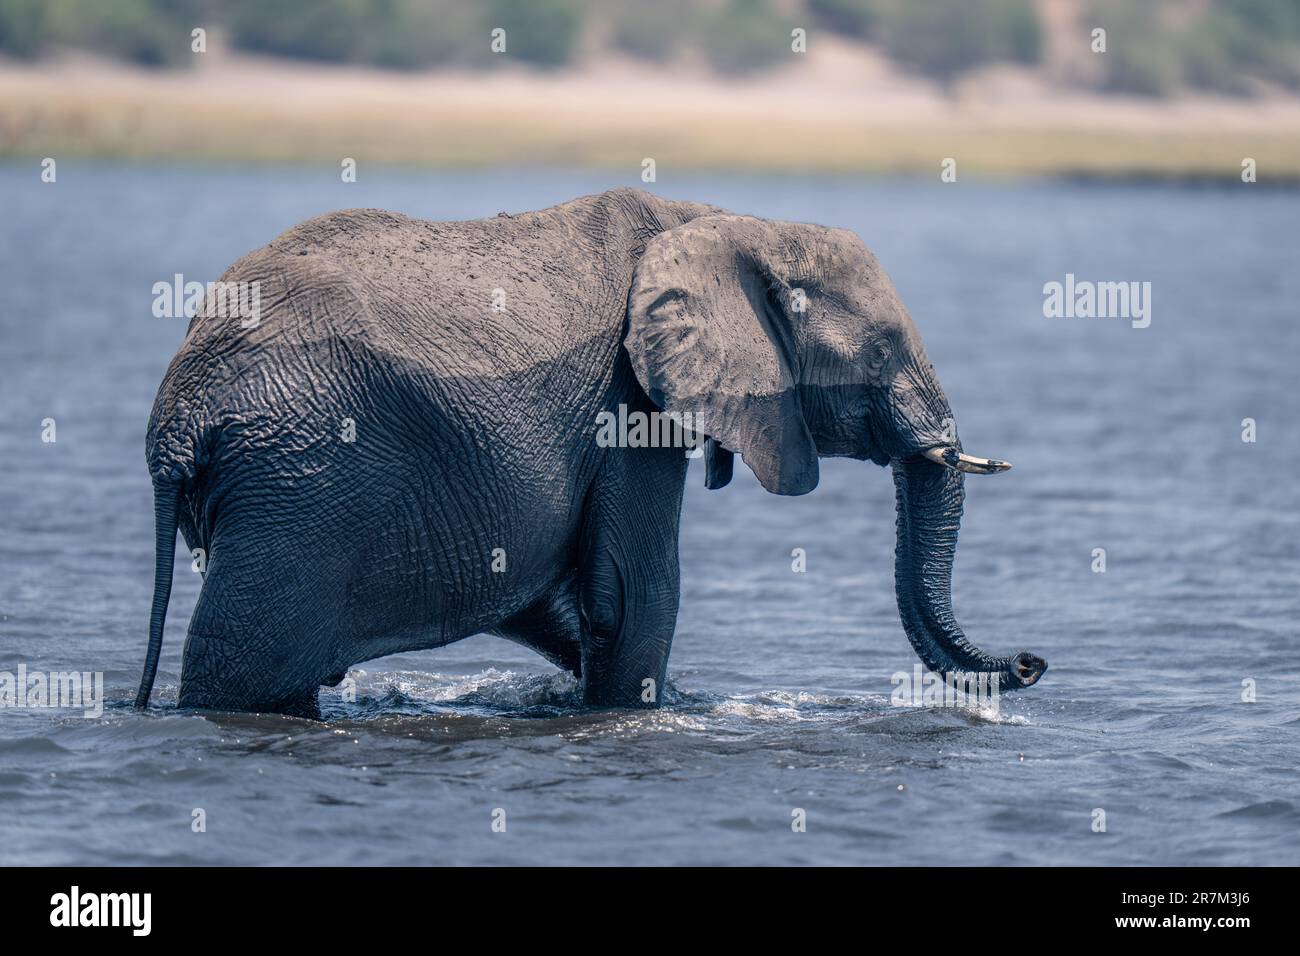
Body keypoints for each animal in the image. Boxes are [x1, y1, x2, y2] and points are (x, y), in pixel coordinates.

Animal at [136, 187, 1046, 718]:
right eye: (884, 350)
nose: (1035, 661)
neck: (732, 221)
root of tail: (178, 413)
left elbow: (571, 597)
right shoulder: (628, 401)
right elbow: (636, 593)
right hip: (303, 481)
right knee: (244, 667)